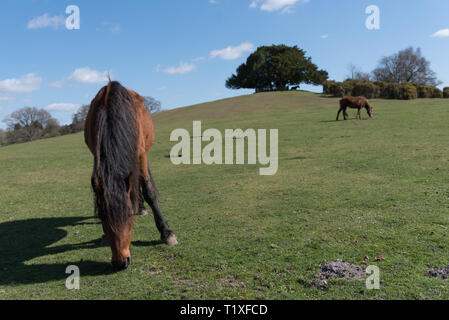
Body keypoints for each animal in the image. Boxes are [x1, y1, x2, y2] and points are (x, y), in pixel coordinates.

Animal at [84, 80, 177, 270]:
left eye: (128, 216)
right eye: (102, 217)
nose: (121, 262)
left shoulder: (140, 154)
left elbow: (148, 190)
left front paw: (166, 232)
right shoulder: (97, 155)